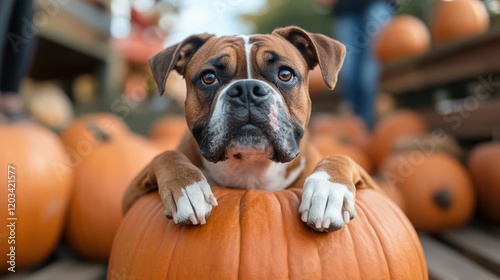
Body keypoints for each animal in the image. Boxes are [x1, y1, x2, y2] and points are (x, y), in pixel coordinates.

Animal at [123, 25, 376, 232]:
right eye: (209, 77)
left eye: (285, 74)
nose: (246, 89)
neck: (250, 167)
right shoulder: (130, 197)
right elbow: (165, 155)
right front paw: (187, 188)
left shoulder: (375, 188)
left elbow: (342, 157)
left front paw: (328, 191)